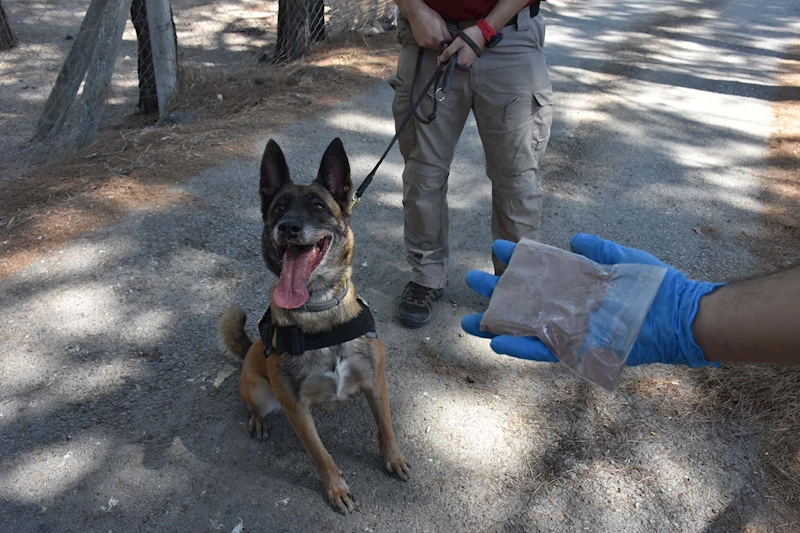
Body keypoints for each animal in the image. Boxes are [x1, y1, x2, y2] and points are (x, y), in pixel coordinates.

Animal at [217, 137, 410, 512]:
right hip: (261, 394)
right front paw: (336, 489)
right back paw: (258, 421)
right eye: (279, 208)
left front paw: (392, 458)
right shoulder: (296, 409)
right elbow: (321, 455)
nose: (288, 227)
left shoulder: (376, 384)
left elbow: (386, 428)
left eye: (319, 207)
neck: (318, 309)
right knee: (255, 406)